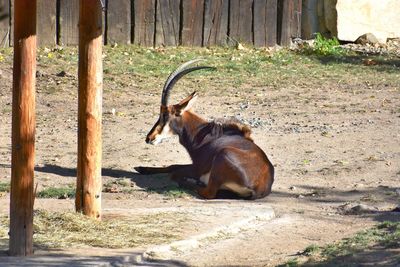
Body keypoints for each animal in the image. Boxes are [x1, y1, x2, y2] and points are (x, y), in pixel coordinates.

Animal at [135, 59, 276, 200]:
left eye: (164, 115)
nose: (149, 138)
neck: (205, 135)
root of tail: (258, 189)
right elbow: (172, 165)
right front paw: (141, 168)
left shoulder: (197, 168)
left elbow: (174, 171)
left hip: (222, 156)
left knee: (207, 192)